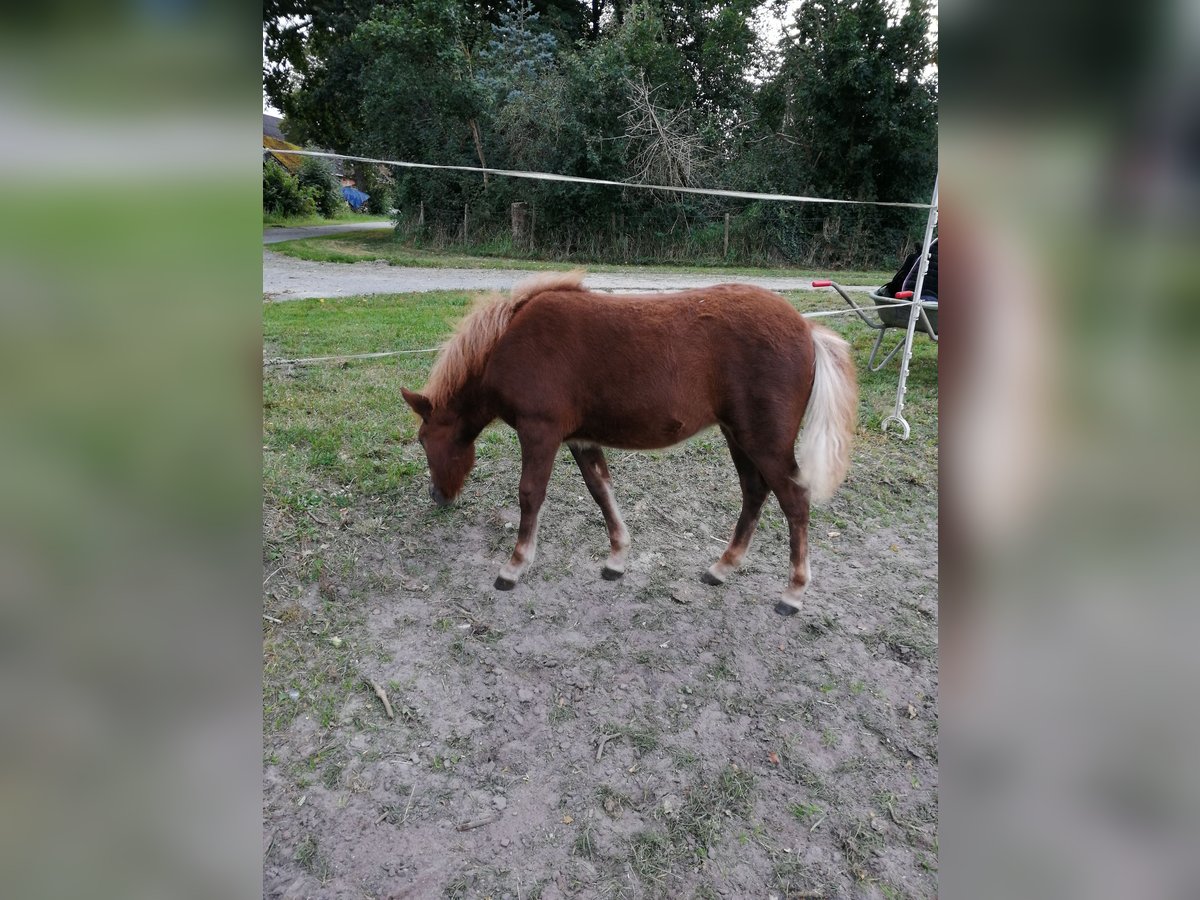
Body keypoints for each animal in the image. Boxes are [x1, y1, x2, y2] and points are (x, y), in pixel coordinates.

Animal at [408, 271, 859, 619]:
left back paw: (793, 593)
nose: (437, 496)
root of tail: (807, 328)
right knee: (754, 492)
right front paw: (617, 559)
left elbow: (530, 495)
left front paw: (514, 567)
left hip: (764, 441)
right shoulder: (581, 438)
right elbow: (601, 491)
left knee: (794, 500)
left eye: (425, 439)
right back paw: (722, 567)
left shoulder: (540, 432)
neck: (510, 343)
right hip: (738, 436)